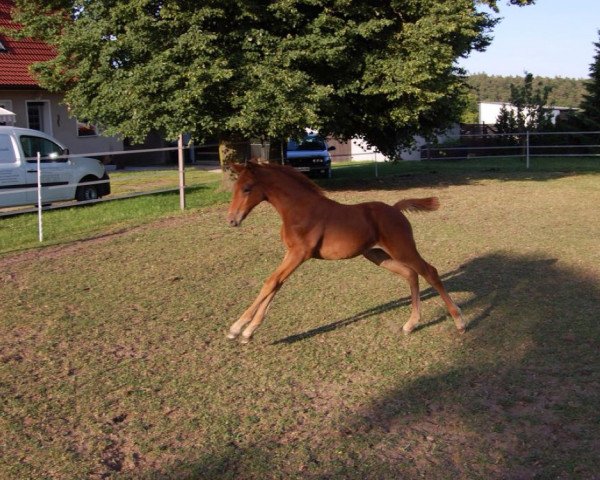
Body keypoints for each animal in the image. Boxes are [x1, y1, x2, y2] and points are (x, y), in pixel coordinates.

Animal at [225, 163, 464, 344]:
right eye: (235, 187)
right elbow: (275, 284)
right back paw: (410, 324)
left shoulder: (299, 254)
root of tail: (396, 208)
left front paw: (237, 328)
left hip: (402, 249)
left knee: (429, 272)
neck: (299, 209)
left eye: (247, 188)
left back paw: (459, 322)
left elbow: (271, 282)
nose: (232, 220)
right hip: (377, 255)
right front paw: (248, 331)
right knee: (411, 274)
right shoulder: (290, 253)